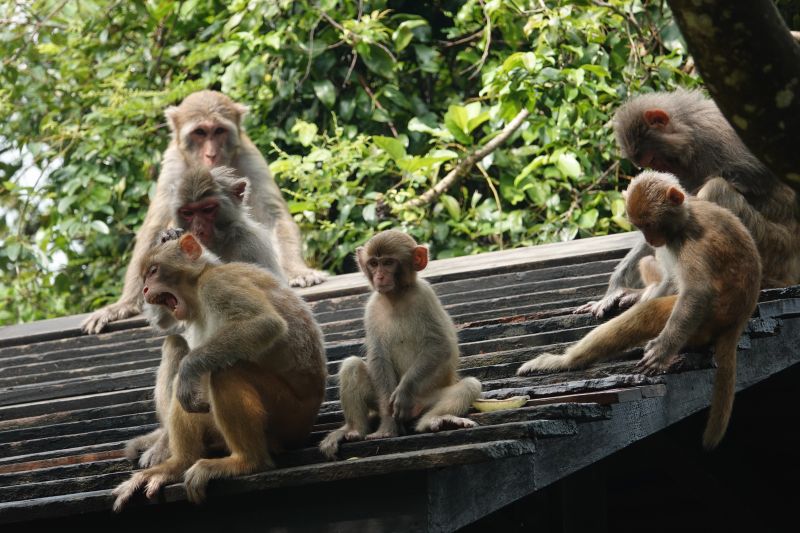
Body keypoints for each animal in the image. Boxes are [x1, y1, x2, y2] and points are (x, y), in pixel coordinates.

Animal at [82, 90, 326, 334]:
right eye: (199, 132)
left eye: (219, 131)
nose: (211, 155)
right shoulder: (173, 165)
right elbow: (154, 227)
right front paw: (123, 305)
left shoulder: (250, 157)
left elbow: (272, 216)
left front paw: (299, 271)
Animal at [112, 233, 327, 509]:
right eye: (145, 277)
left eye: (153, 271)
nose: (146, 289)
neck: (197, 288)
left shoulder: (218, 285)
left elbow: (264, 323)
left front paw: (188, 369)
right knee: (185, 357)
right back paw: (177, 464)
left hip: (289, 418)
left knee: (226, 371)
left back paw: (247, 461)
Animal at [319, 230, 481, 459]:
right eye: (373, 263)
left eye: (388, 263)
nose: (379, 276)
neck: (396, 297)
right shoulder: (372, 308)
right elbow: (378, 356)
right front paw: (387, 427)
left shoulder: (425, 296)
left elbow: (440, 346)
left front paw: (404, 391)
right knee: (352, 366)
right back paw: (354, 429)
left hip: (423, 399)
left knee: (469, 385)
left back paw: (434, 420)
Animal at [520, 171, 762, 449]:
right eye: (640, 226)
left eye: (650, 224)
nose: (650, 238)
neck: (685, 218)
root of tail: (737, 321)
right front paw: (614, 290)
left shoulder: (692, 239)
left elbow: (697, 292)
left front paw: (663, 349)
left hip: (706, 322)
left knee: (652, 312)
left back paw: (565, 361)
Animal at [577, 88, 799, 319]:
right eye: (648, 162)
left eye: (653, 159)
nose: (661, 170)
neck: (690, 131)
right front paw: (616, 288)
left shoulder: (715, 143)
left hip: (777, 248)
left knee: (716, 190)